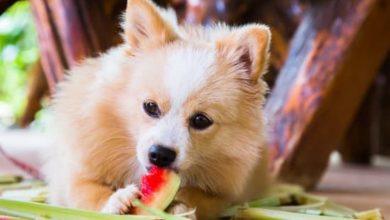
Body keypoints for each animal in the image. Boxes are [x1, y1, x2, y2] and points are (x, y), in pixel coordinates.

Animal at [45, 0, 272, 218]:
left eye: (201, 120)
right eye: (150, 107)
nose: (161, 154)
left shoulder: (221, 194)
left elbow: (199, 197)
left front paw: (181, 206)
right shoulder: (72, 174)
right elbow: (86, 191)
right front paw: (115, 201)